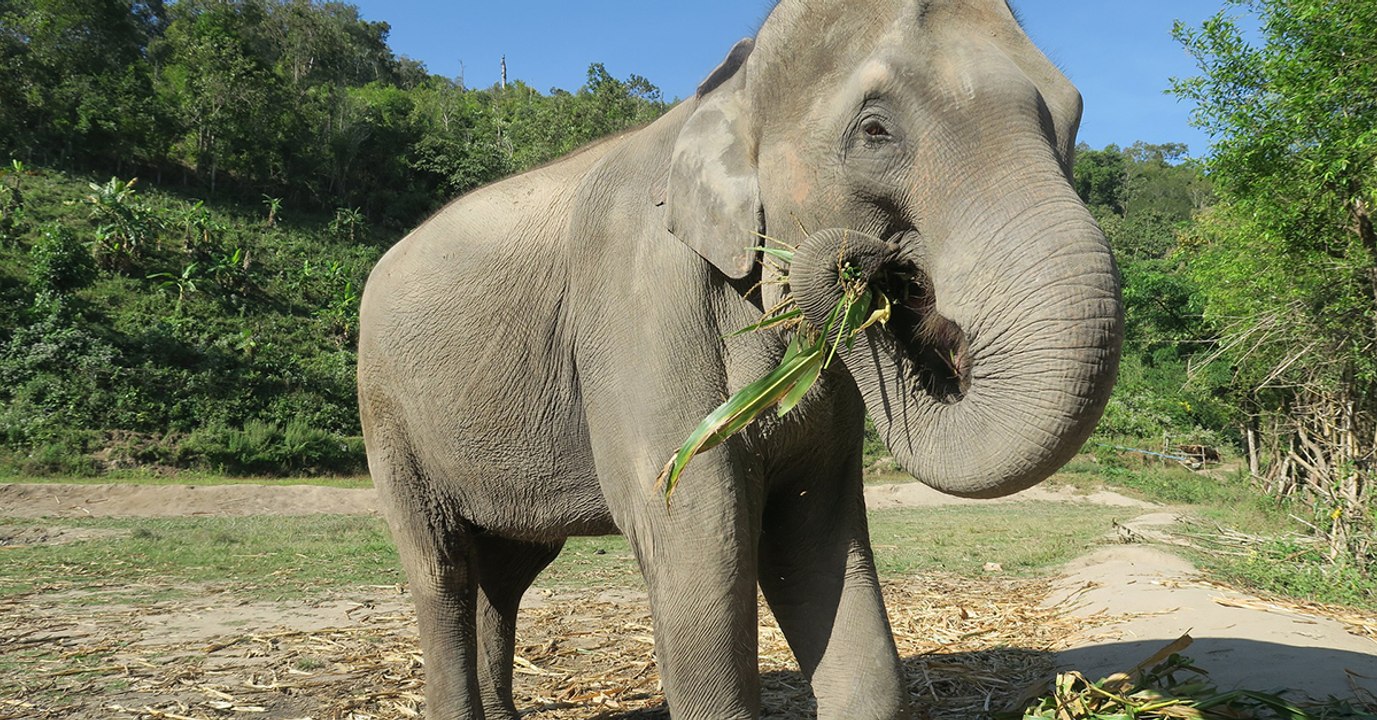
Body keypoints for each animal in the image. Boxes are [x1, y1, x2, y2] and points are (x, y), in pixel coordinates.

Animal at [356, 0, 1123, 718]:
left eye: (1072, 116)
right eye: (875, 131)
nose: (867, 269)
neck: (731, 86)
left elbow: (813, 534)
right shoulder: (640, 302)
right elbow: (696, 529)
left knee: (508, 566)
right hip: (386, 412)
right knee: (443, 568)